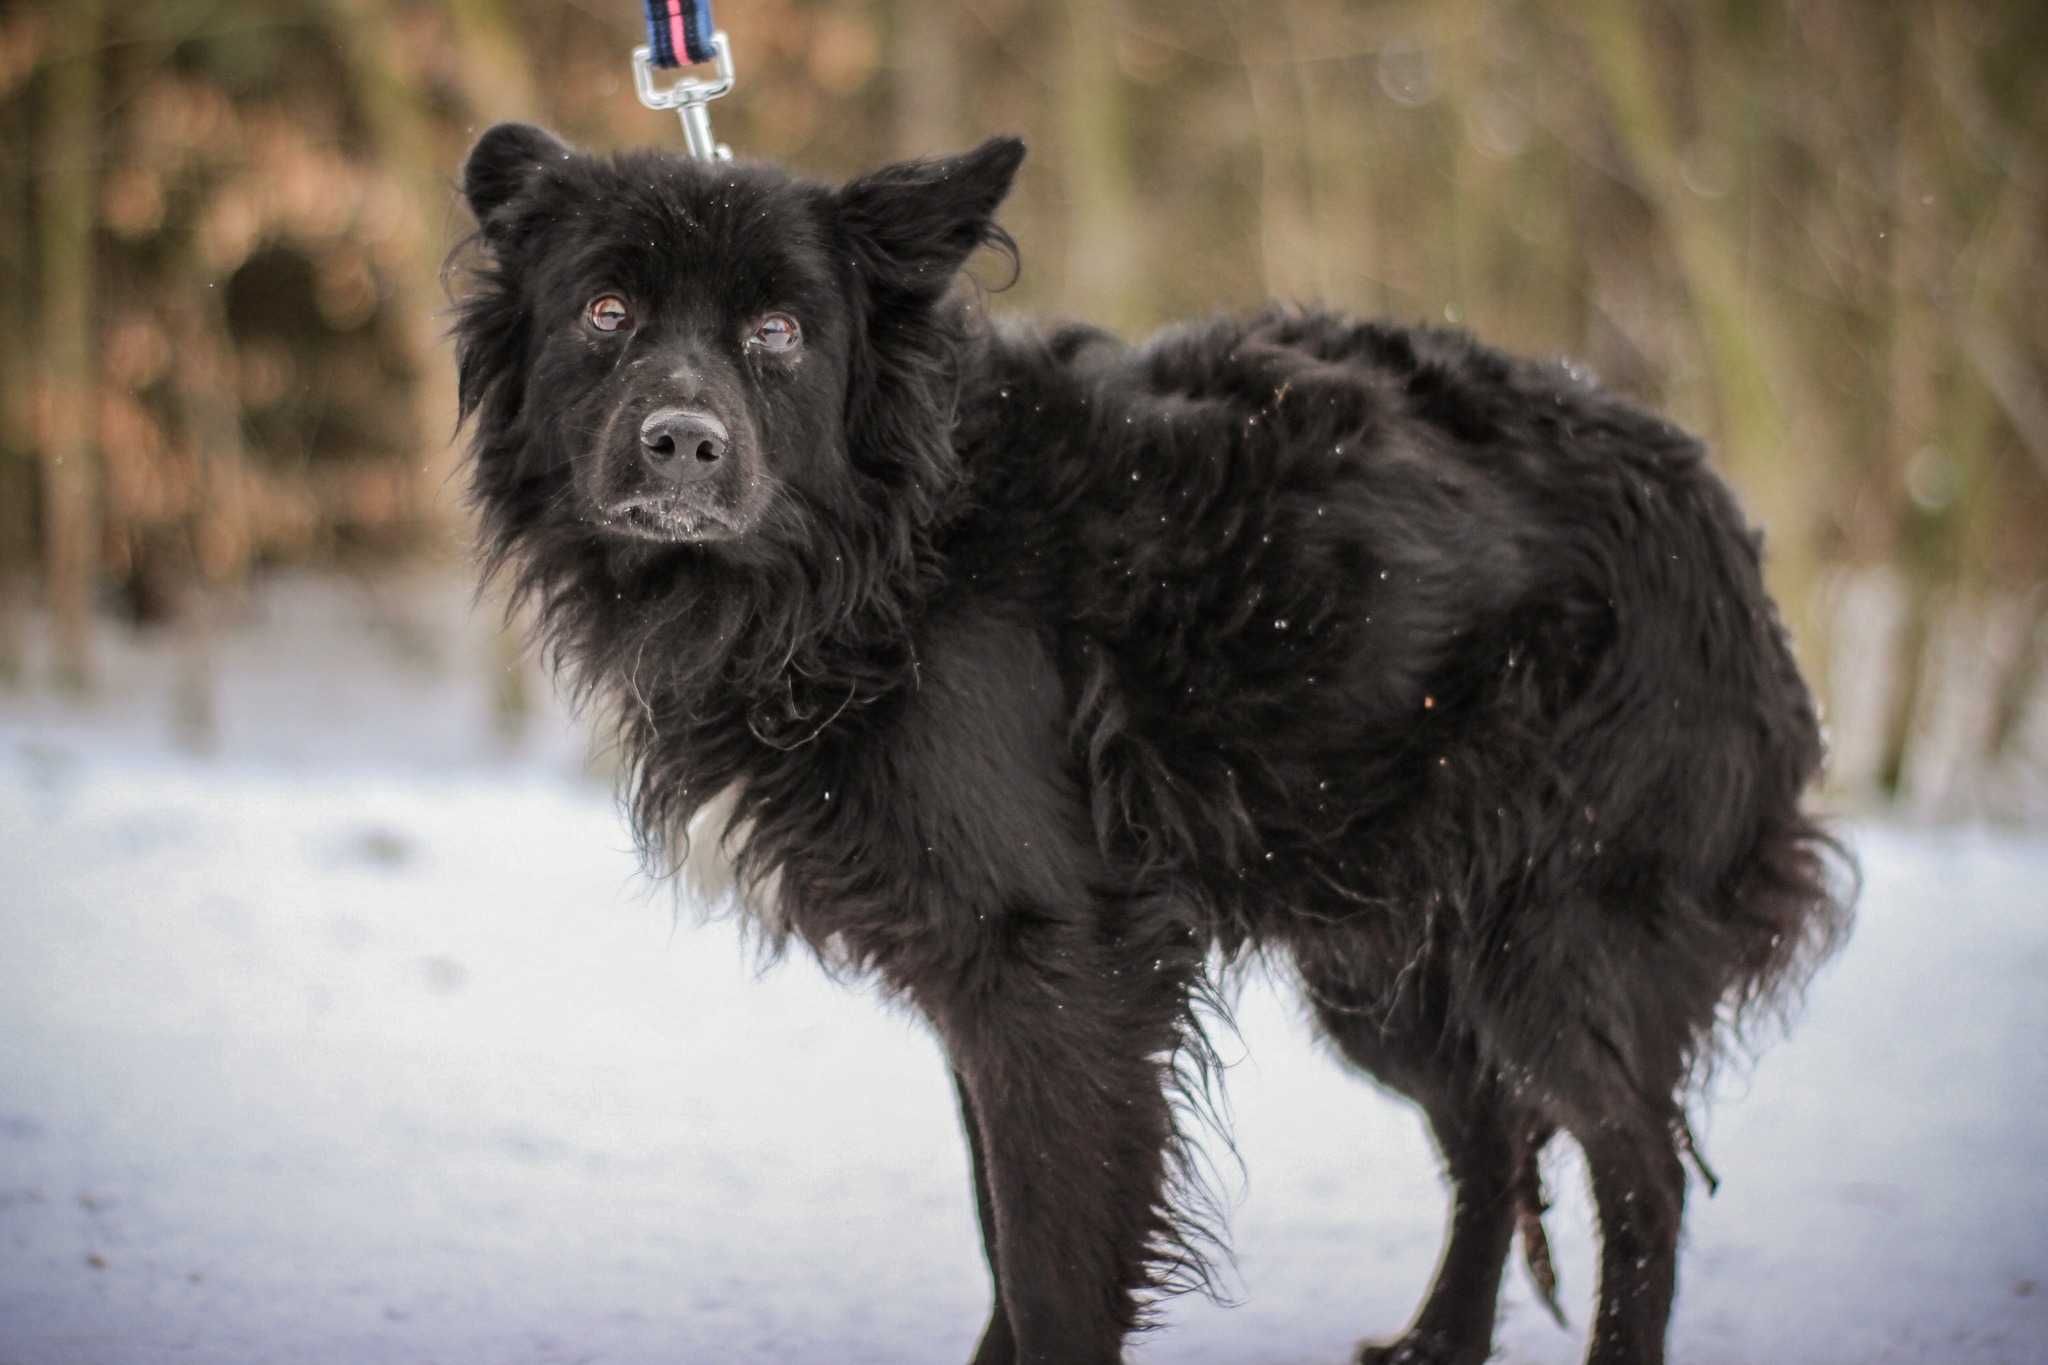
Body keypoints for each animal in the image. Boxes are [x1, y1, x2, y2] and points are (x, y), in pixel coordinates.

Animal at [452, 127, 1859, 1365]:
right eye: (606, 311)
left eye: (778, 333)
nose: (681, 446)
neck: (894, 544)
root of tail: (1720, 521)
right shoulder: (994, 989)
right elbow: (1009, 1244)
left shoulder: (1061, 970)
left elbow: (1052, 1265)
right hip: (1381, 959)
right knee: (1489, 1129)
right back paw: (1436, 1343)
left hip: (1558, 941)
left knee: (1639, 1173)